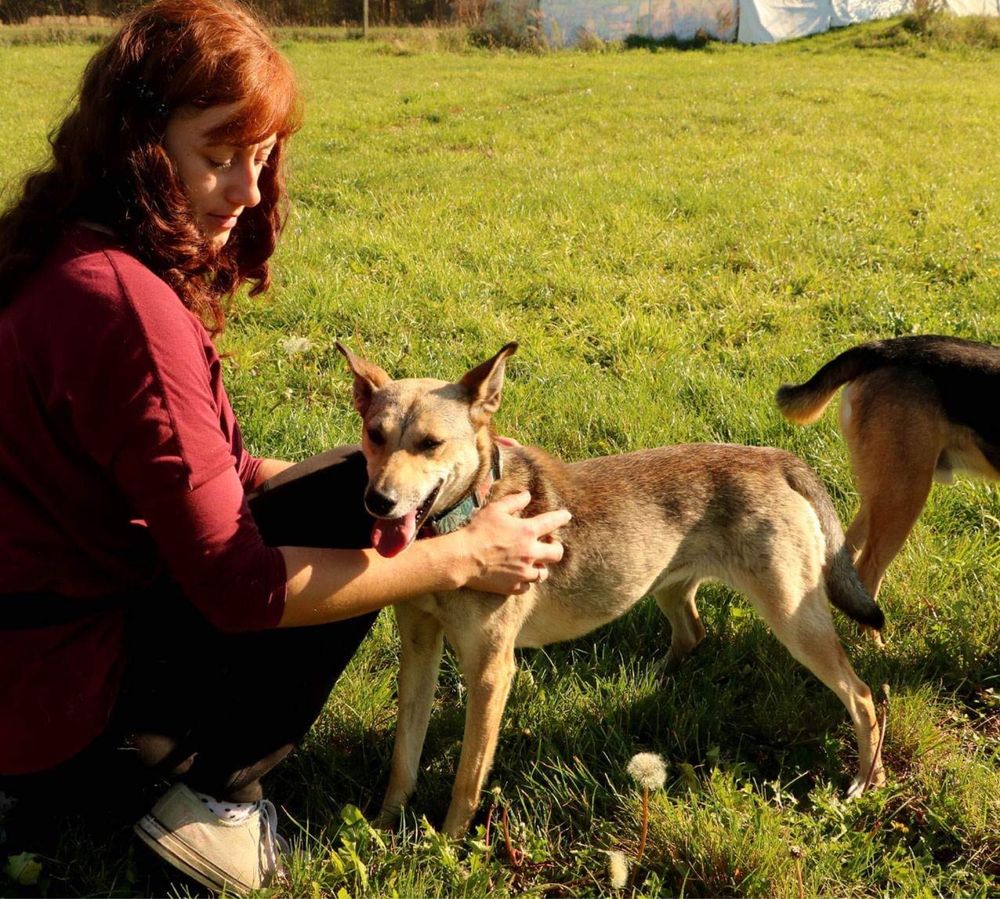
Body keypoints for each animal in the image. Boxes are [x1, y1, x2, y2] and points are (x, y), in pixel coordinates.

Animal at [340, 342, 888, 840]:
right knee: (693, 632)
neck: (465, 519)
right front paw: (382, 825)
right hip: (669, 587)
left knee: (862, 697)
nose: (377, 501)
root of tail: (775, 458)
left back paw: (867, 779)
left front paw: (447, 844)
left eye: (431, 443)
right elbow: (403, 756)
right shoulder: (418, 650)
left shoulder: (491, 671)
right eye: (375, 435)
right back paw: (657, 682)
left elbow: (467, 778)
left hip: (794, 619)